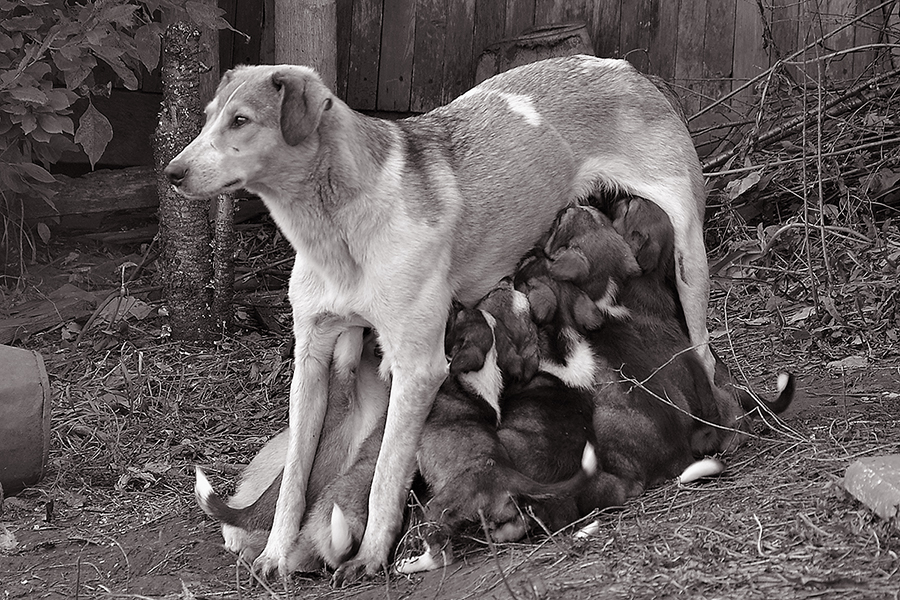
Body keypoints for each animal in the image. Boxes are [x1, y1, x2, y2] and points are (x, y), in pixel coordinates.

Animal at [165, 55, 712, 580]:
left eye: (241, 120)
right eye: (208, 117)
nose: (171, 173)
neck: (335, 232)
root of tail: (624, 68)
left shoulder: (418, 368)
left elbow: (386, 475)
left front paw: (371, 556)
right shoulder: (312, 361)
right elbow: (293, 484)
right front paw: (275, 555)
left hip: (690, 257)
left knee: (701, 345)